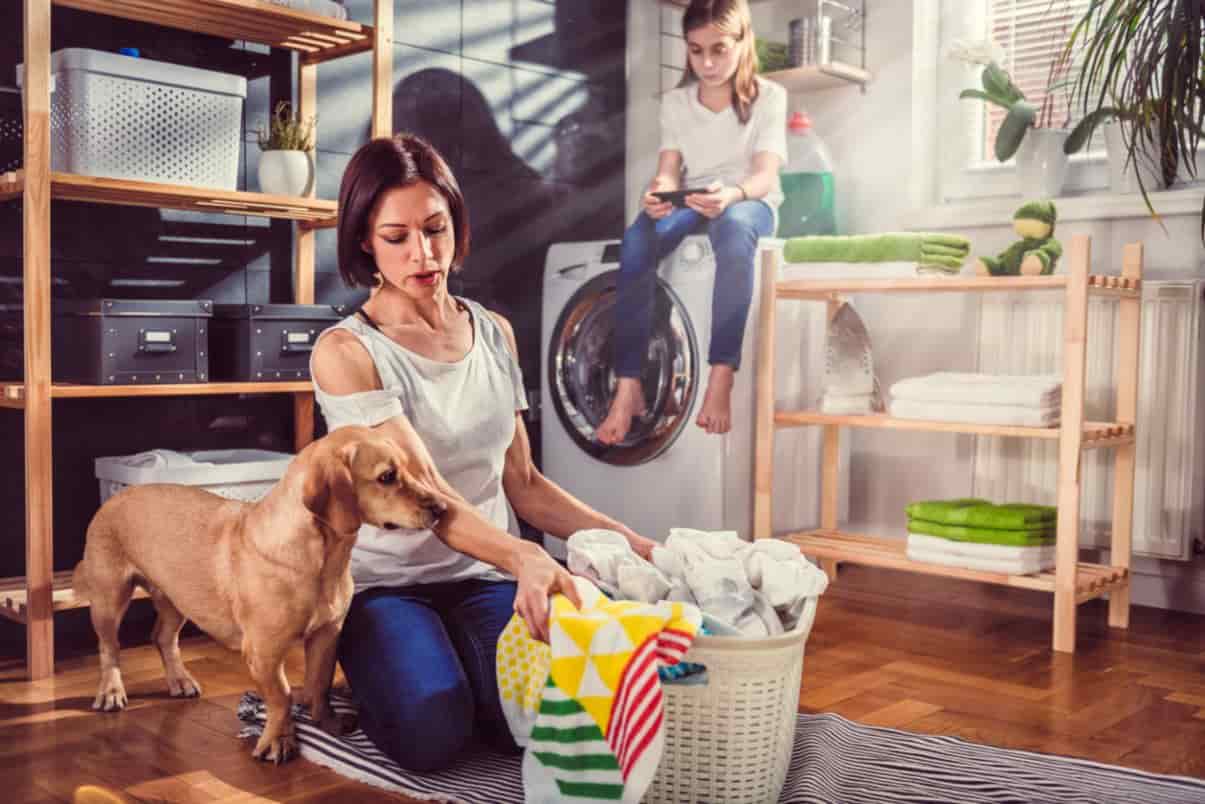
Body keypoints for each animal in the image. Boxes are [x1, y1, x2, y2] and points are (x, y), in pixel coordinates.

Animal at [67, 424, 443, 766]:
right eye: (387, 476)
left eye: (412, 469)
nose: (442, 508)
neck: (325, 561)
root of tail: (115, 497)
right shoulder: (264, 651)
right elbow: (282, 696)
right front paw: (278, 741)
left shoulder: (326, 635)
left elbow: (319, 685)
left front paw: (327, 723)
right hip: (110, 598)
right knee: (110, 648)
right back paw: (112, 692)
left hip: (177, 600)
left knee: (163, 638)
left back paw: (180, 680)